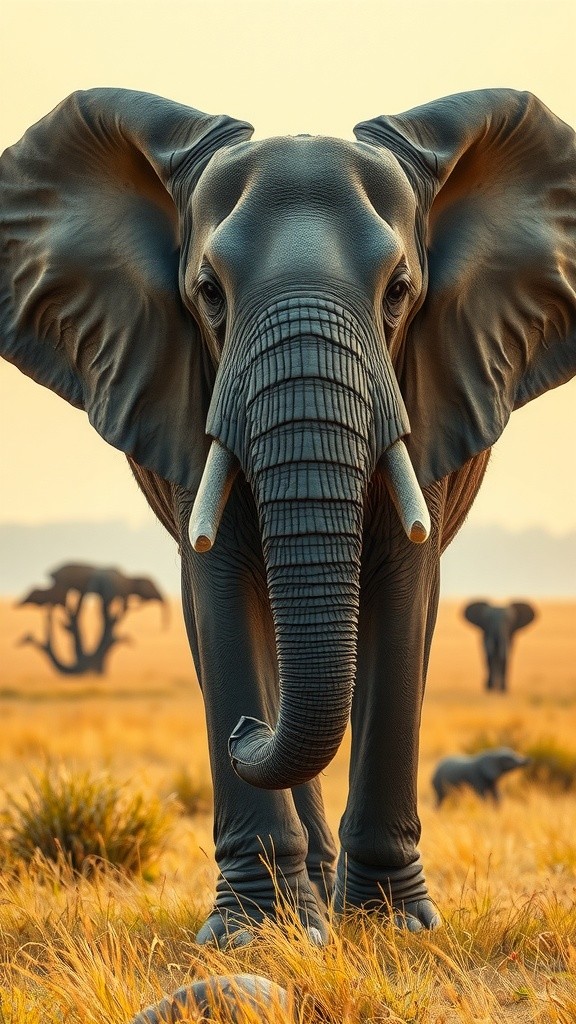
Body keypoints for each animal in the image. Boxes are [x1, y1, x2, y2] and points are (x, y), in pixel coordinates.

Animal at [1, 87, 575, 943]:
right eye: (209, 294)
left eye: (399, 292)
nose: (245, 734)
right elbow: (218, 590)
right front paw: (251, 933)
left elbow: (406, 591)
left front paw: (393, 929)